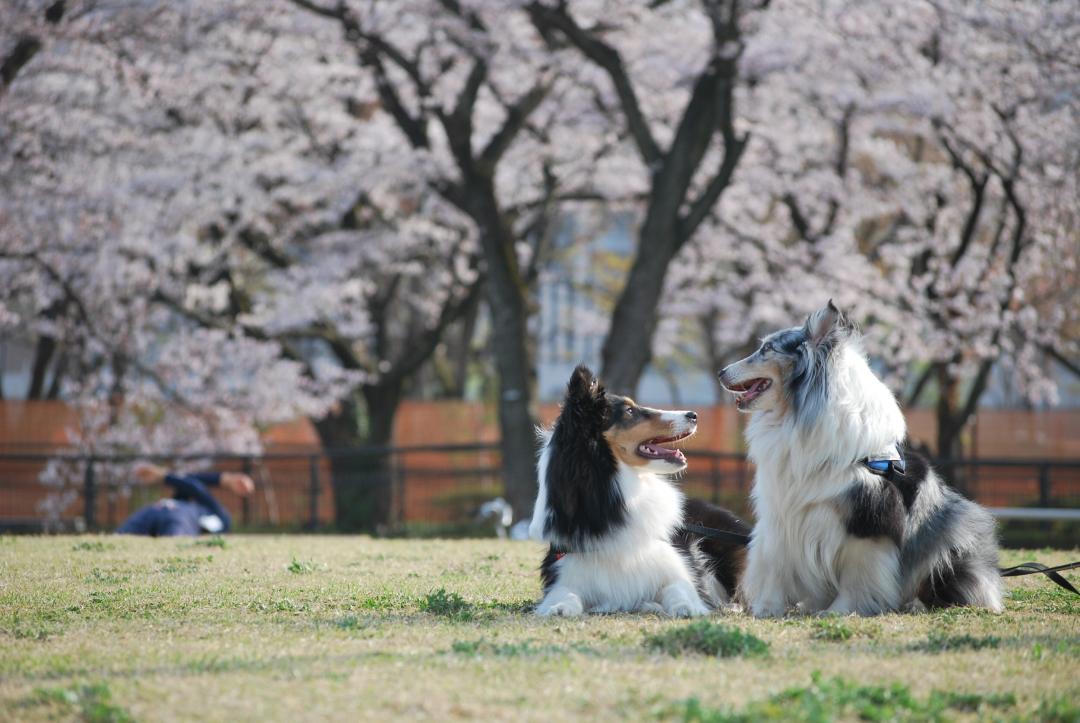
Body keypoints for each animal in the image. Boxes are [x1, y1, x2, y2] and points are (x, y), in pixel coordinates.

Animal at [527, 367, 747, 613]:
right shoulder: (564, 571)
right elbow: (565, 593)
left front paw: (686, 607)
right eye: (630, 411)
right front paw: (559, 608)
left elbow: (678, 589)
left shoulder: (677, 567)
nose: (693, 415)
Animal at [717, 298, 1002, 613]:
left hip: (952, 533)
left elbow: (858, 574)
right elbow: (774, 563)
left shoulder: (868, 519)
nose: (720, 372)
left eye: (767, 349)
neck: (793, 416)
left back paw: (915, 604)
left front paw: (842, 611)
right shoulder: (780, 514)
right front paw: (768, 608)